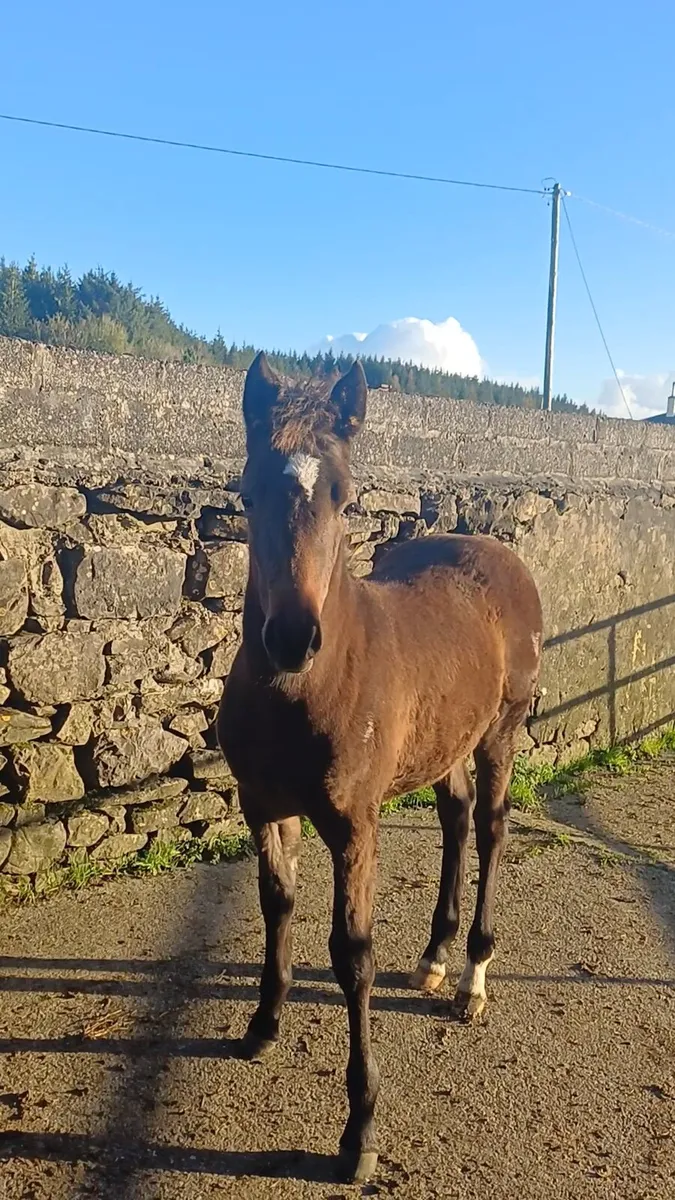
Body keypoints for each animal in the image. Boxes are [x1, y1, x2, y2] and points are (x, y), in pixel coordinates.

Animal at [217, 352, 543, 1182]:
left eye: (344, 495)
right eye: (247, 491)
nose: (290, 637)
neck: (304, 690)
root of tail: (497, 552)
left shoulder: (353, 825)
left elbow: (352, 957)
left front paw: (359, 1129)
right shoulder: (264, 804)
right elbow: (276, 905)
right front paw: (263, 1023)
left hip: (500, 734)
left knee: (490, 830)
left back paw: (470, 978)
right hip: (445, 745)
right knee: (455, 819)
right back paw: (432, 958)